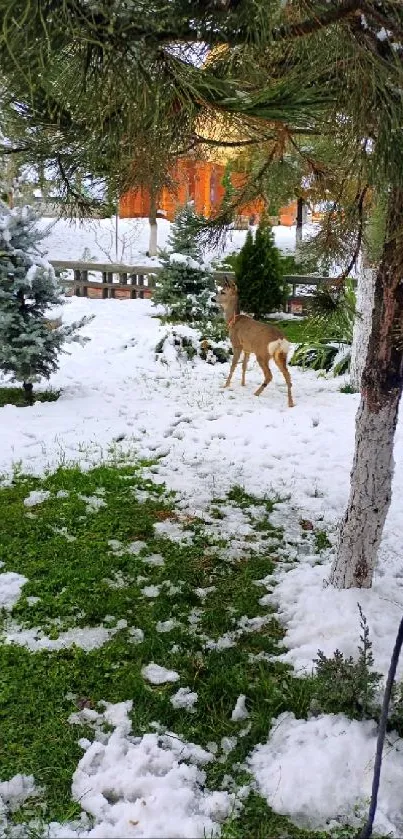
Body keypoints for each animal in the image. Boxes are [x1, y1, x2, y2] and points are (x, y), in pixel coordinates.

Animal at [216, 280, 296, 408]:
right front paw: (243, 384)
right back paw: (290, 402)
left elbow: (233, 365)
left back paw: (257, 392)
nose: (212, 298)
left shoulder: (237, 345)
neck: (233, 321)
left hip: (262, 354)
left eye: (222, 292)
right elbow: (244, 366)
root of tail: (280, 339)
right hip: (281, 354)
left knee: (269, 375)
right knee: (287, 375)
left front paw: (226, 385)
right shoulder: (247, 348)